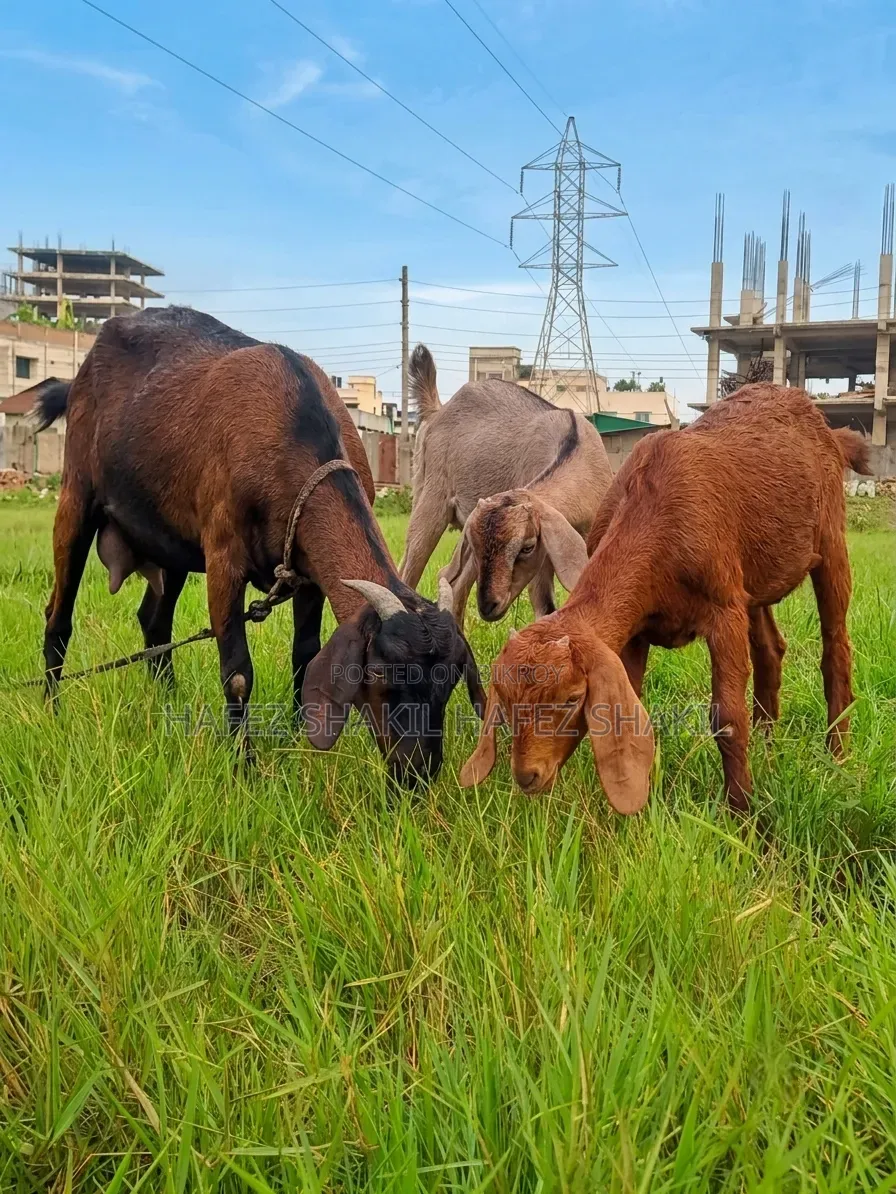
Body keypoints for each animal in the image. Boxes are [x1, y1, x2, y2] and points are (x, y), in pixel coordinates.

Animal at [35, 306, 484, 786]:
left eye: (450, 682)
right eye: (382, 676)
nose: (416, 773)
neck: (292, 427)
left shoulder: (307, 574)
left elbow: (304, 653)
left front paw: (298, 736)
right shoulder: (222, 558)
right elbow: (236, 674)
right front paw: (243, 767)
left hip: (170, 542)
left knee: (154, 622)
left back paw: (167, 702)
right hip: (77, 495)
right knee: (59, 614)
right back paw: (52, 709)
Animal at [399, 345, 612, 623]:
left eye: (526, 547)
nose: (489, 606)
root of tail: (438, 411)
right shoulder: (543, 558)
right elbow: (545, 607)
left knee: (453, 582)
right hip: (430, 496)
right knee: (408, 571)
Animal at [460, 383, 872, 815]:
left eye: (572, 698)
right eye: (506, 701)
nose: (527, 776)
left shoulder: (724, 608)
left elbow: (727, 718)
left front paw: (741, 814)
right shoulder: (636, 630)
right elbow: (632, 707)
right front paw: (637, 810)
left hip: (830, 537)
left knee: (836, 647)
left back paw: (836, 758)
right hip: (754, 575)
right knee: (770, 648)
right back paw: (767, 747)